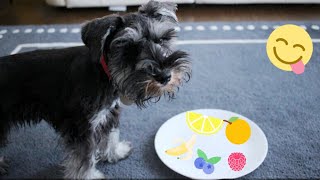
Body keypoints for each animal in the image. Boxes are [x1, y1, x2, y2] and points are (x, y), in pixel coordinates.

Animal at [0, 0, 190, 178]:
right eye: (130, 49)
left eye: (162, 39)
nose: (165, 76)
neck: (104, 73)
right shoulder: (81, 128)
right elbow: (83, 159)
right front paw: (89, 176)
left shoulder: (109, 113)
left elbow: (111, 136)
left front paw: (116, 152)